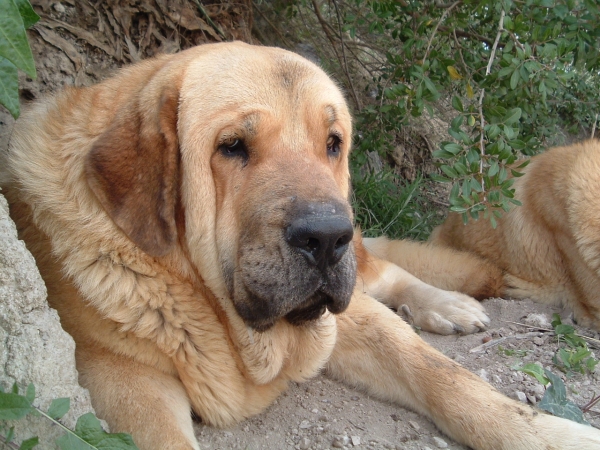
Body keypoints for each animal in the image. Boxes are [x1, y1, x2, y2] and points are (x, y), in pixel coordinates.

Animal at [4, 42, 600, 450]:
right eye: (232, 146)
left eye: (332, 144)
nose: (328, 236)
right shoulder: (116, 375)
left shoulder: (348, 318)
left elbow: (445, 376)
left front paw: (551, 433)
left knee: (387, 271)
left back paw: (446, 304)